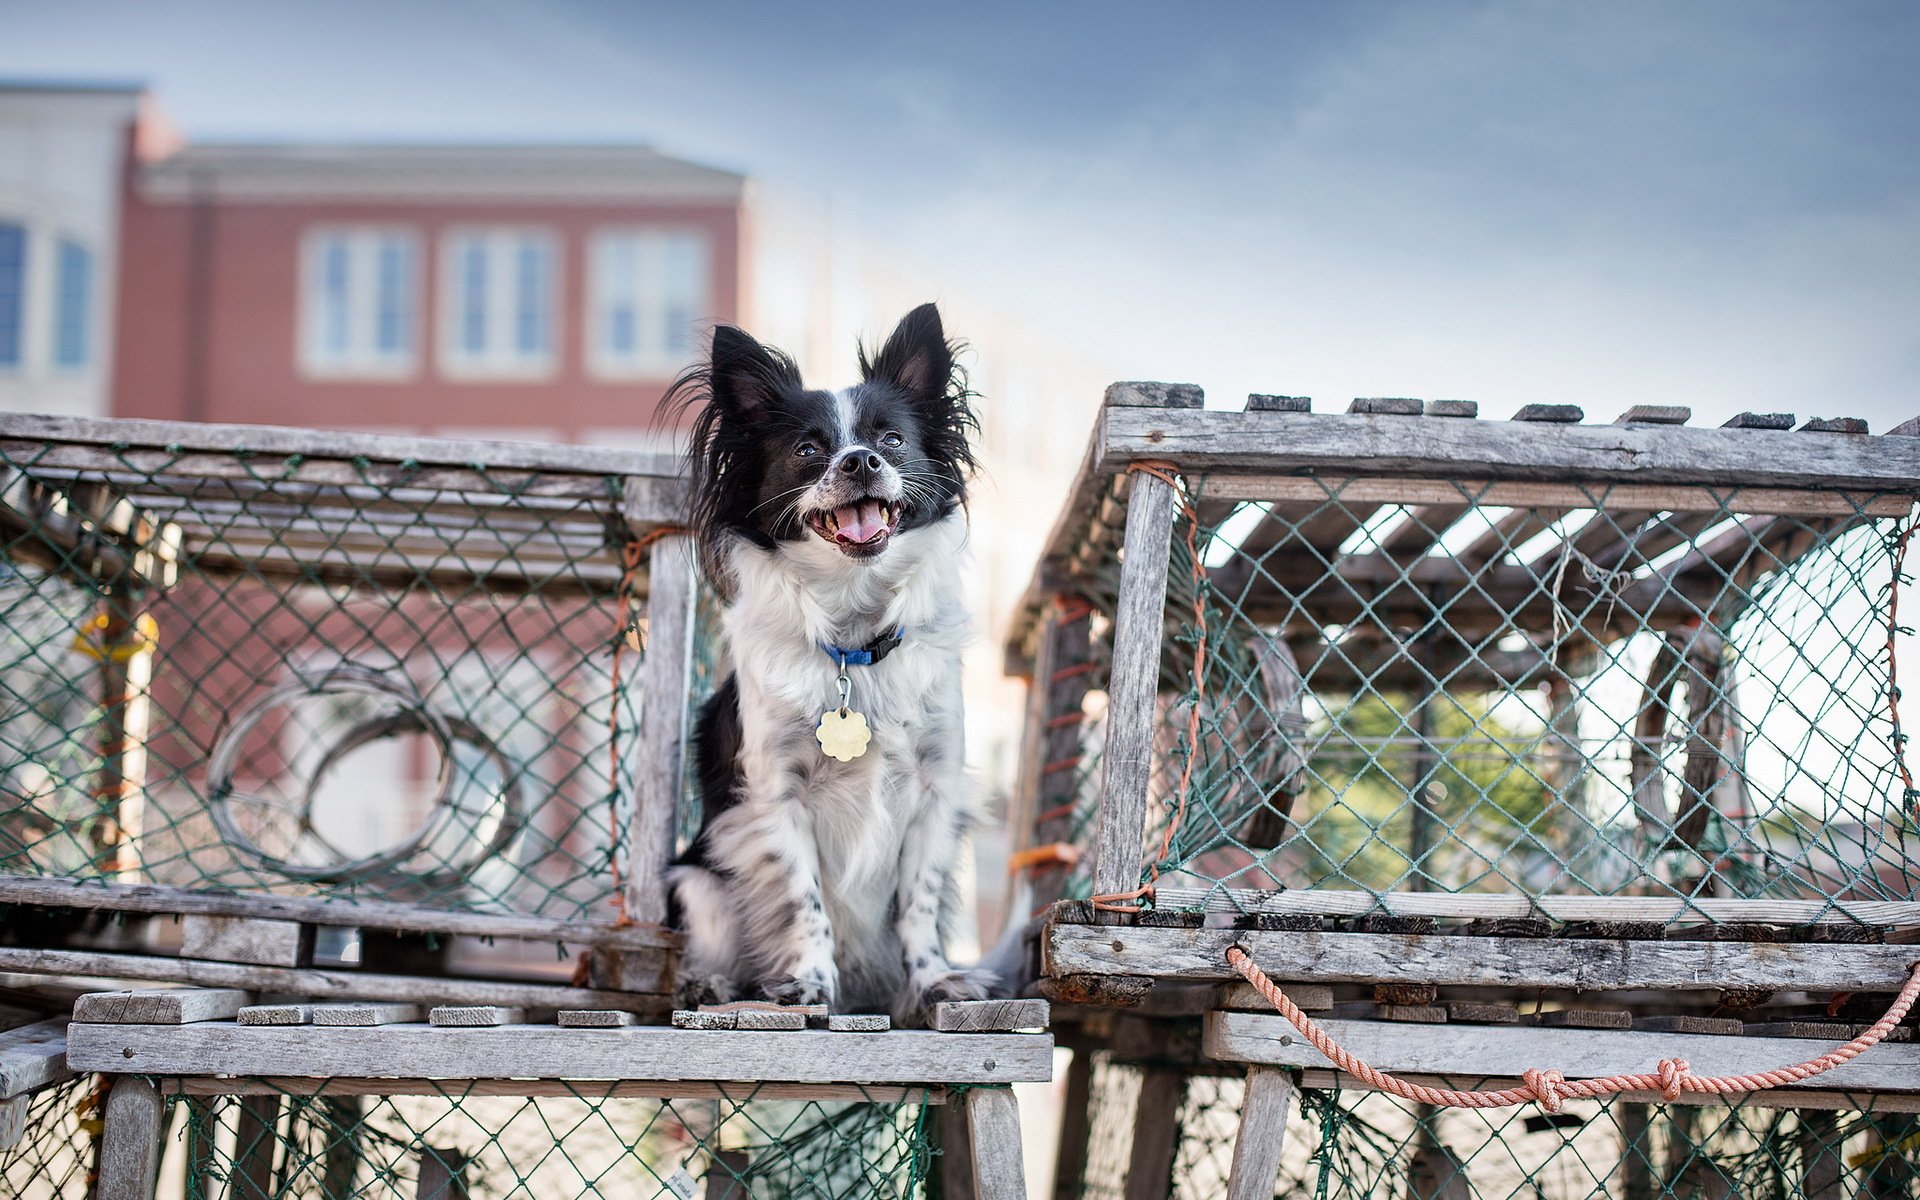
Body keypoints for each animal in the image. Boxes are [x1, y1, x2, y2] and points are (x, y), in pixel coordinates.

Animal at [660, 299, 990, 1021]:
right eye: (807, 451)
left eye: (891, 440)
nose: (861, 461)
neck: (855, 644)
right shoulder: (774, 800)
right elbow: (802, 901)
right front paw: (809, 983)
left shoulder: (933, 794)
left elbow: (919, 906)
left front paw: (934, 982)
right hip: (698, 880)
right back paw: (708, 983)